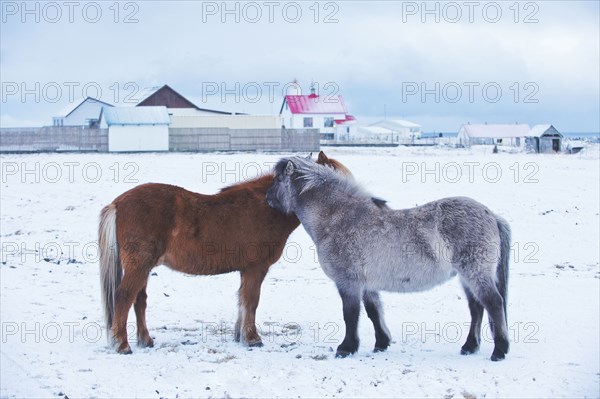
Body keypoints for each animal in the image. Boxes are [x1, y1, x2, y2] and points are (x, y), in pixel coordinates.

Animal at [99, 152, 352, 354]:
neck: (268, 207)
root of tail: (118, 203)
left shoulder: (246, 270)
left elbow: (242, 301)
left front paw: (240, 336)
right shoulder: (255, 269)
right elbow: (251, 301)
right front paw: (252, 339)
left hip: (144, 268)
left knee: (139, 301)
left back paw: (145, 340)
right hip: (139, 266)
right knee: (124, 298)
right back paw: (122, 345)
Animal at [268, 157, 510, 362]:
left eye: (278, 179)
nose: (267, 199)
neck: (338, 218)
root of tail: (491, 214)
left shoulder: (348, 282)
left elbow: (350, 315)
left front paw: (346, 348)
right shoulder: (367, 284)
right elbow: (373, 311)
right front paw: (381, 343)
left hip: (475, 273)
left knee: (493, 303)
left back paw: (499, 350)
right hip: (466, 277)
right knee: (476, 308)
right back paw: (469, 347)